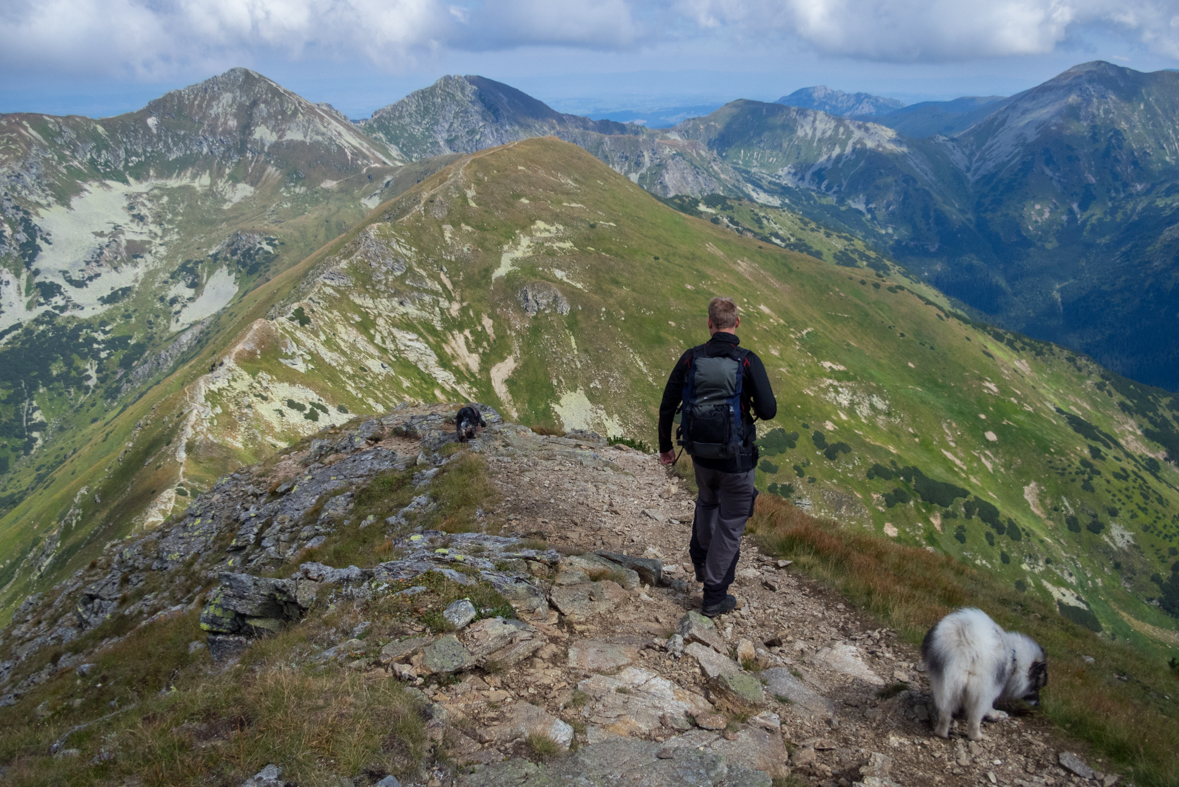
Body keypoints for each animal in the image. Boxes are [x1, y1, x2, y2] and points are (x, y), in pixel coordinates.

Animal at [919, 607, 1051, 739]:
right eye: (1036, 688)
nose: (1038, 703)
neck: (1015, 659)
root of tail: (968, 644)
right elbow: (989, 707)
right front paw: (995, 714)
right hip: (981, 688)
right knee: (974, 719)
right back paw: (977, 736)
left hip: (945, 683)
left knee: (945, 713)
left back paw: (941, 732)